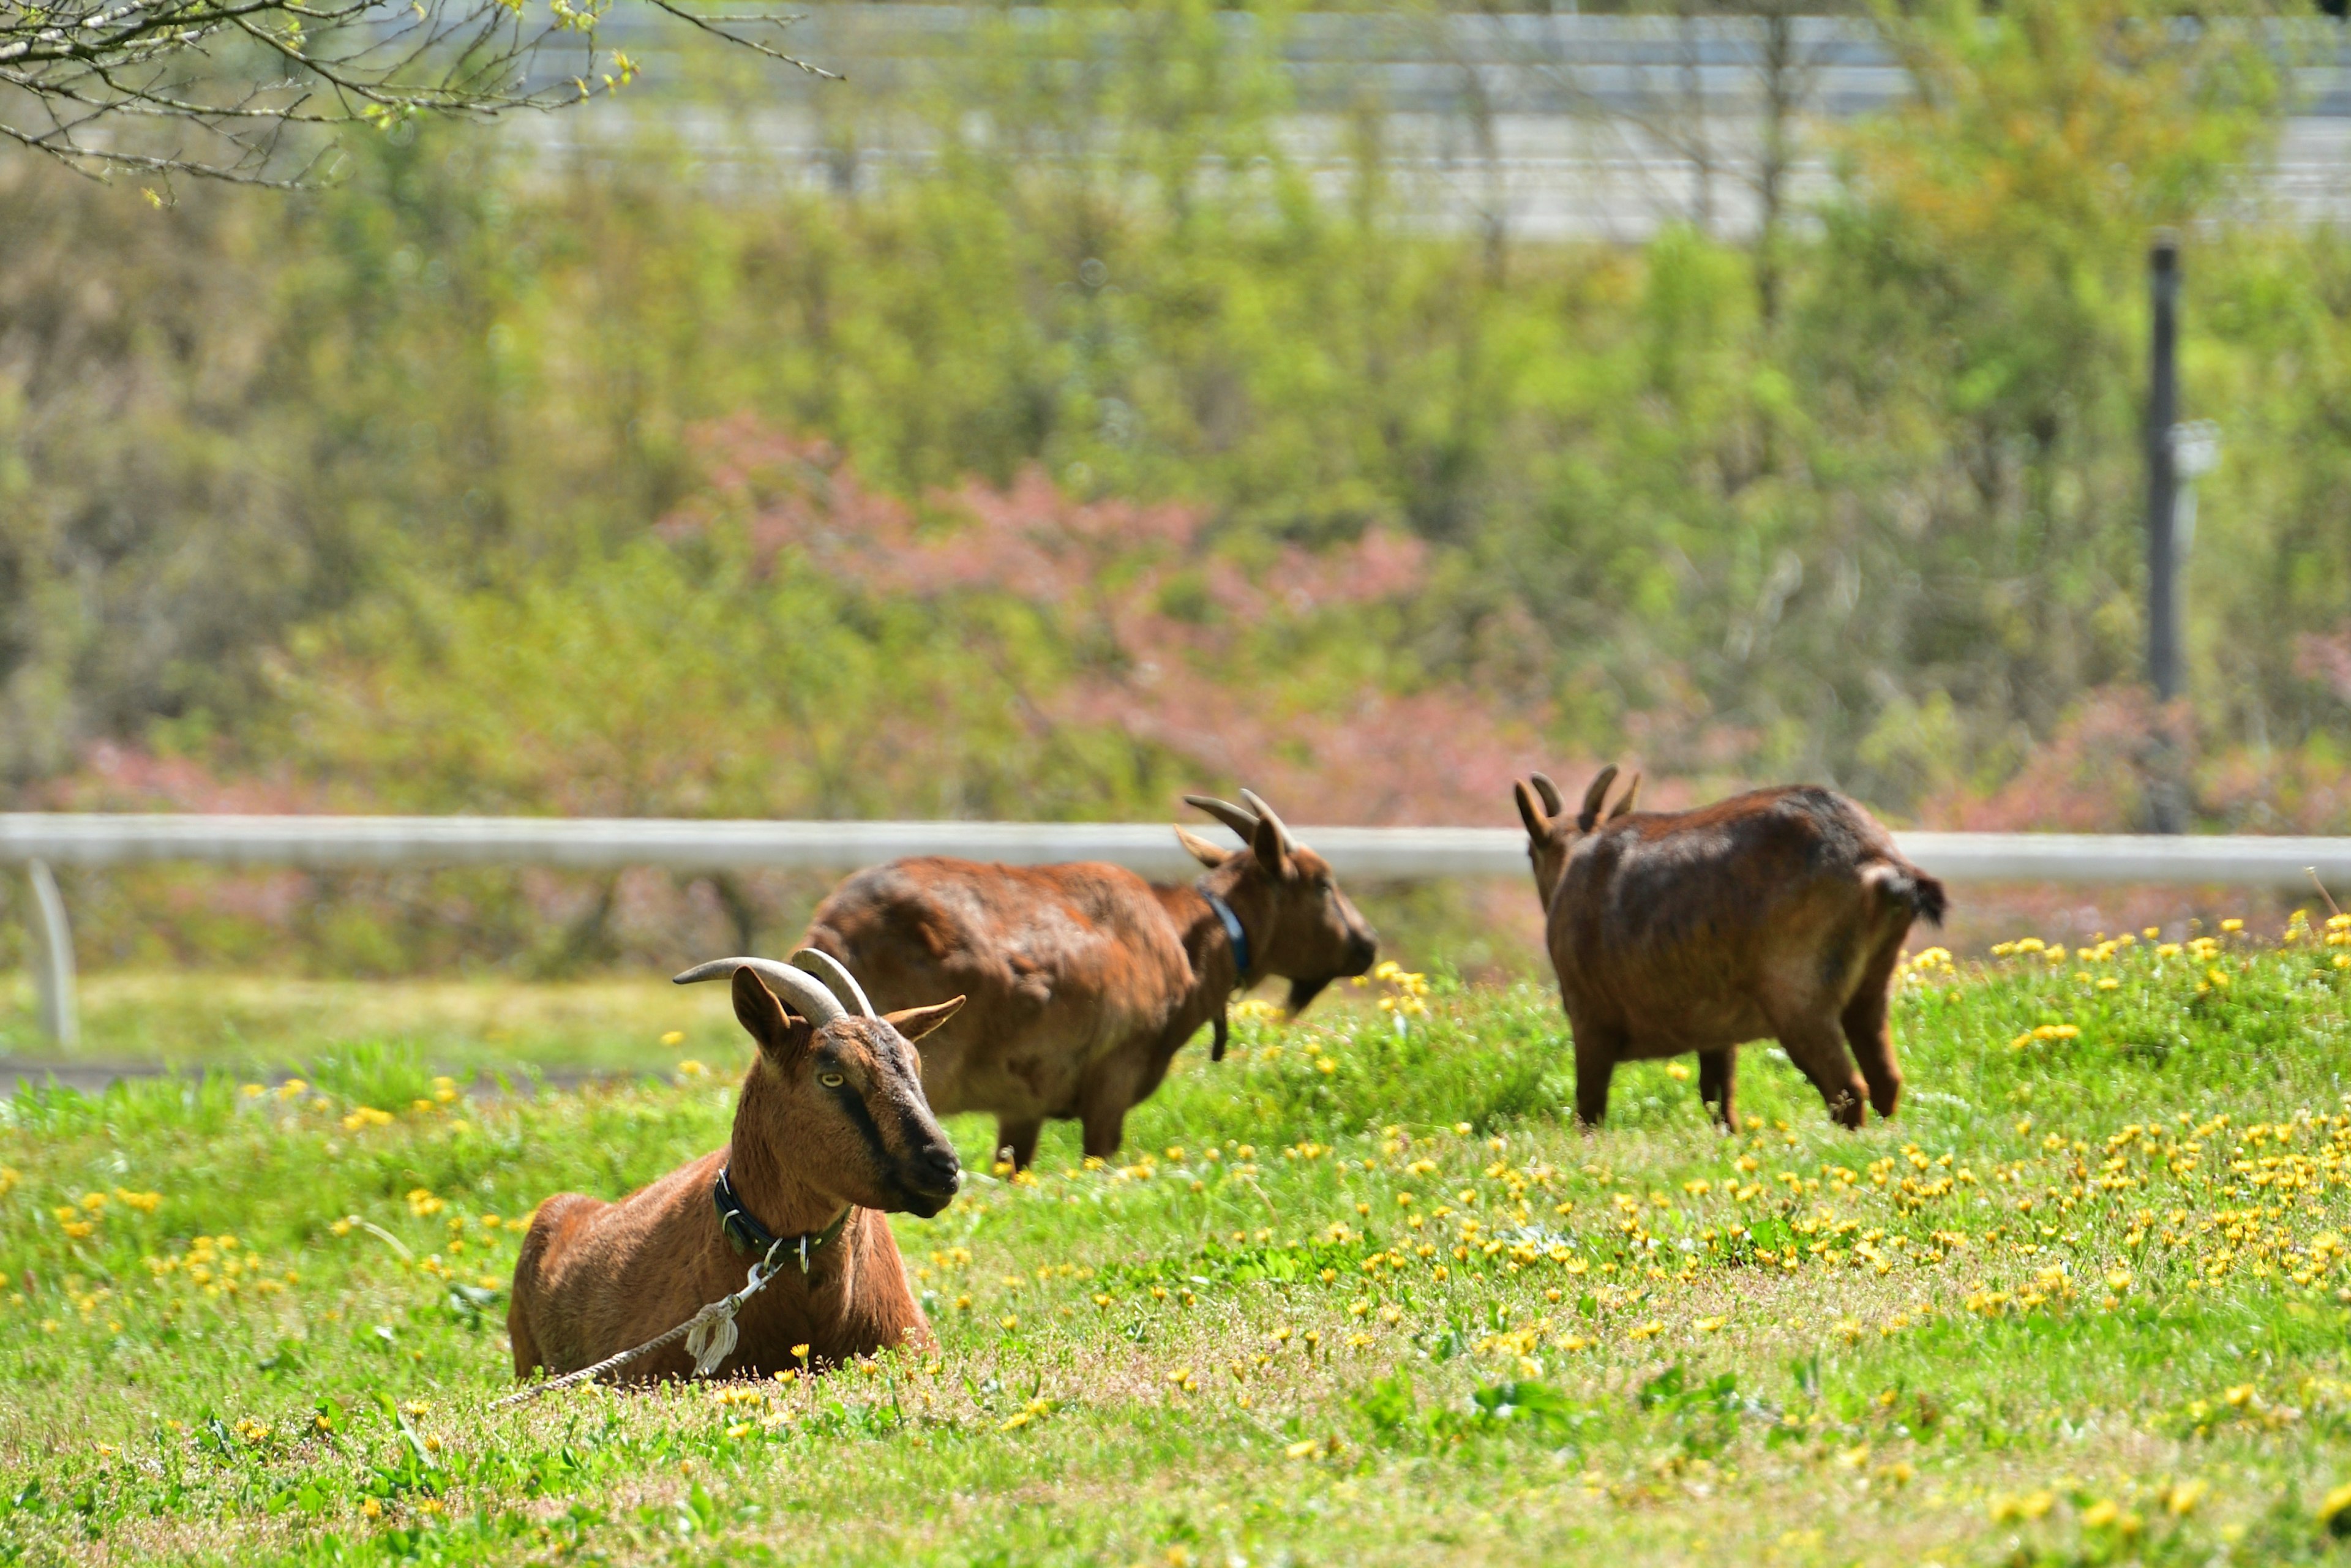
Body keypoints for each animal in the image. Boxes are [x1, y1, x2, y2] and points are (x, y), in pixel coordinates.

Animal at [799, 790, 1373, 1171]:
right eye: (1323, 883)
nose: (1366, 945)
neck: (1181, 939)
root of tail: (830, 931)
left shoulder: (1023, 1107)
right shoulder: (1112, 1085)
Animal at [1513, 771, 1955, 1128]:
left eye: (1530, 850)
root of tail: (1878, 863)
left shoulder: (1590, 1022)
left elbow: (1589, 1111)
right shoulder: (1715, 1031)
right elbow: (1719, 1102)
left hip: (1799, 1001)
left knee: (1846, 1090)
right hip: (1871, 987)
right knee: (1885, 1080)